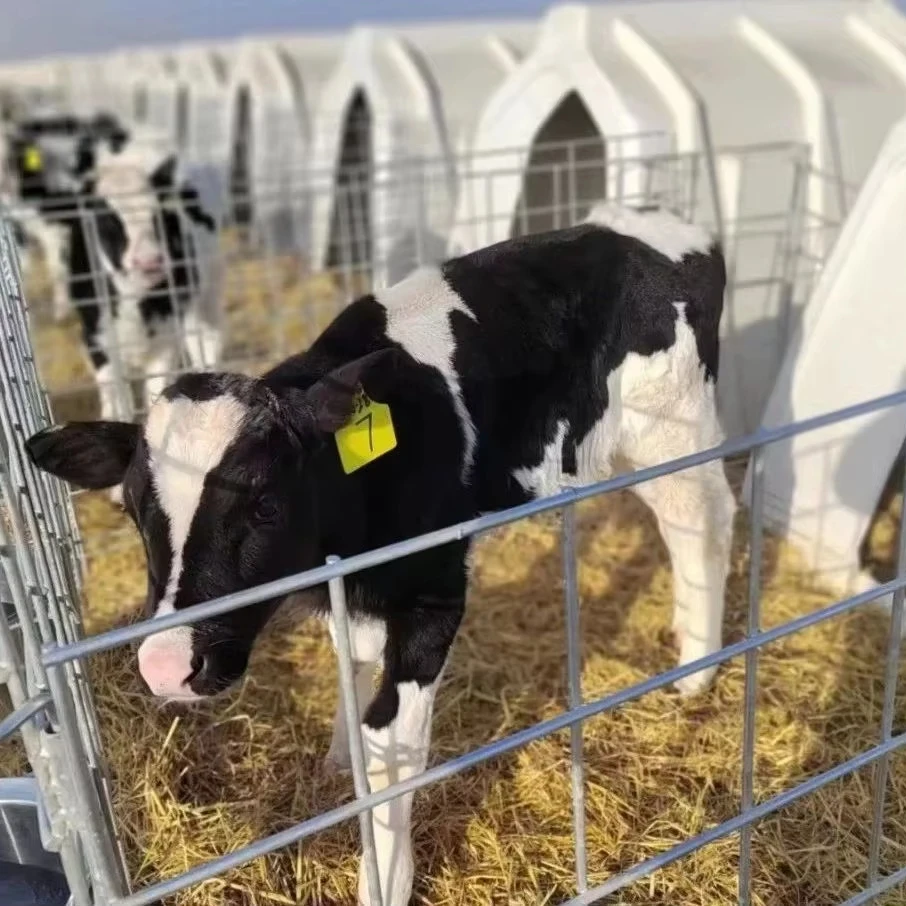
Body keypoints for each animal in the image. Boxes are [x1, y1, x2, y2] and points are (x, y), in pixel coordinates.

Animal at [25, 203, 737, 906]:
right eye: (132, 510)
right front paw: (339, 761)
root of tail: (672, 225)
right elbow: (354, 660)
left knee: (701, 523)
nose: (166, 666)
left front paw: (384, 878)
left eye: (264, 506)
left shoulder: (432, 591)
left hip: (673, 429)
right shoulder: (360, 590)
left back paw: (696, 671)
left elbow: (391, 747)